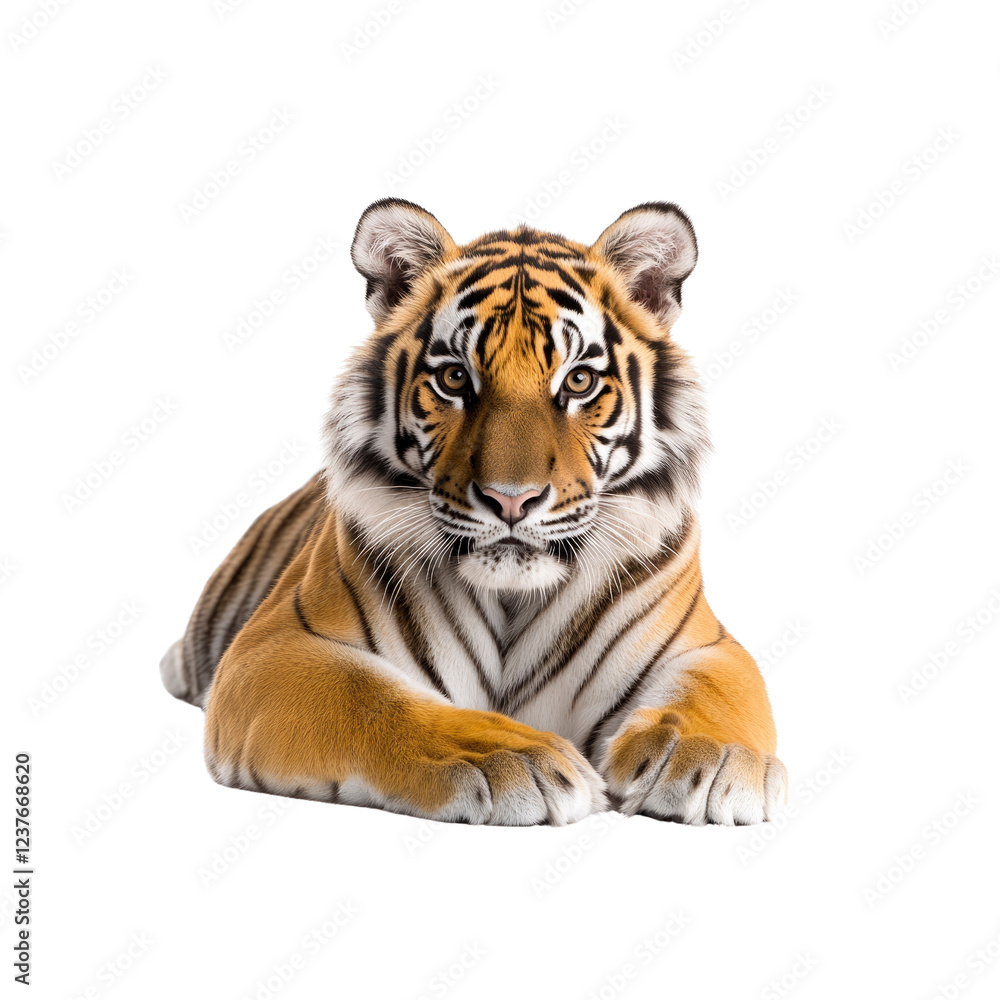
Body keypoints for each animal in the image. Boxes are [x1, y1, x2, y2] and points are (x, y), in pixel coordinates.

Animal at [160, 197, 786, 827]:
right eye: (455, 377)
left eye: (579, 380)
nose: (512, 499)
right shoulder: (273, 647)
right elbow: (373, 700)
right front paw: (515, 756)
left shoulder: (709, 645)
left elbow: (715, 692)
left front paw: (710, 759)